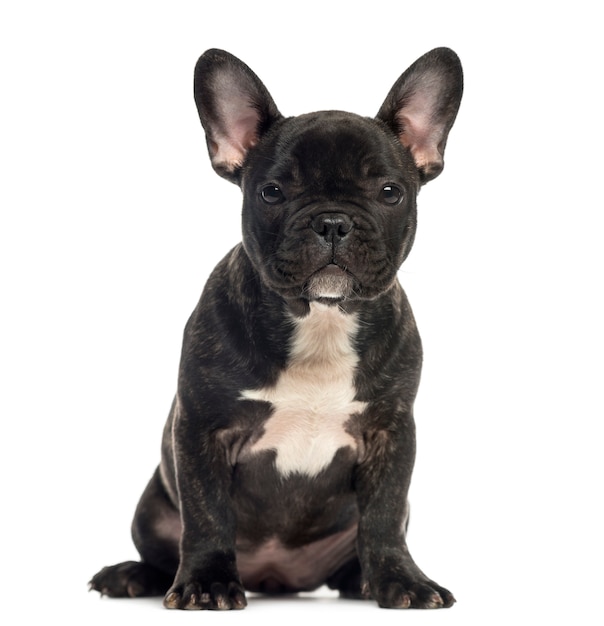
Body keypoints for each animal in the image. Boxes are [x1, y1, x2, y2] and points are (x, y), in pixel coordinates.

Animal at [89, 45, 462, 608]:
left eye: (389, 192)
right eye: (271, 192)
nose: (333, 221)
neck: (321, 318)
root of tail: (275, 575)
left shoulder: (391, 432)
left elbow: (385, 516)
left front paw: (402, 579)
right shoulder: (204, 428)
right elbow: (207, 515)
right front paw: (206, 581)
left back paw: (361, 579)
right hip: (151, 507)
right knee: (163, 546)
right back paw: (133, 575)